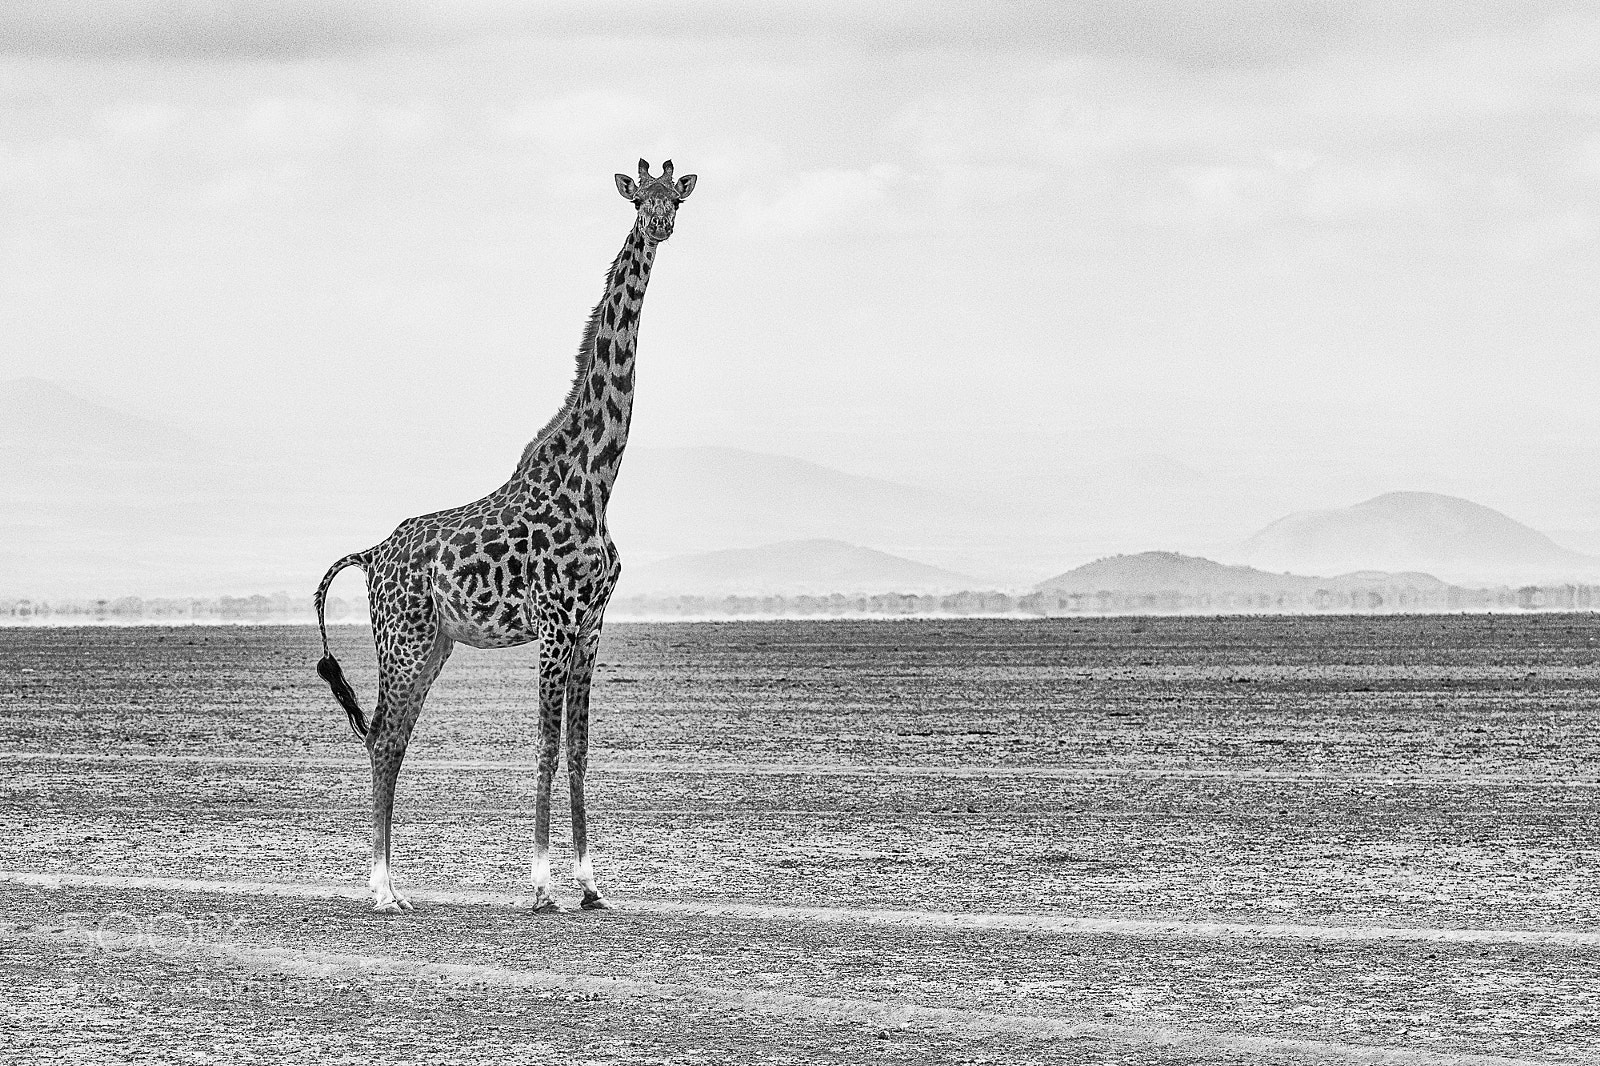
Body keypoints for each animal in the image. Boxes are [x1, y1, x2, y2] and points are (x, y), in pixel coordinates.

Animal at [312, 159, 696, 914]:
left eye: (676, 196)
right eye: (640, 198)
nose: (662, 224)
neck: (596, 480)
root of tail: (370, 555)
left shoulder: (591, 625)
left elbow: (579, 749)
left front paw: (590, 885)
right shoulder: (553, 623)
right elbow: (544, 746)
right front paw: (542, 886)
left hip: (434, 643)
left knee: (389, 737)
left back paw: (385, 883)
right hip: (403, 639)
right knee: (385, 741)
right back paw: (384, 890)